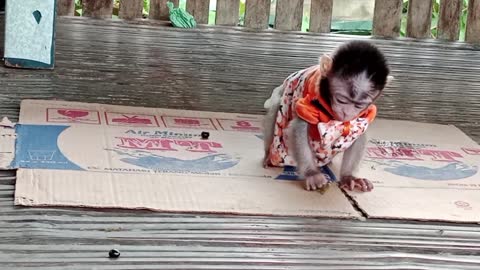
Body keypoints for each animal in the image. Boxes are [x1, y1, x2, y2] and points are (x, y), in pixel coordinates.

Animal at [264, 40, 392, 192]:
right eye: (342, 100)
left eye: (359, 105)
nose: (346, 113)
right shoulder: (309, 100)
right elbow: (298, 127)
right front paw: (312, 174)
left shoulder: (364, 114)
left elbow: (358, 131)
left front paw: (349, 177)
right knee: (276, 106)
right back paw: (268, 155)